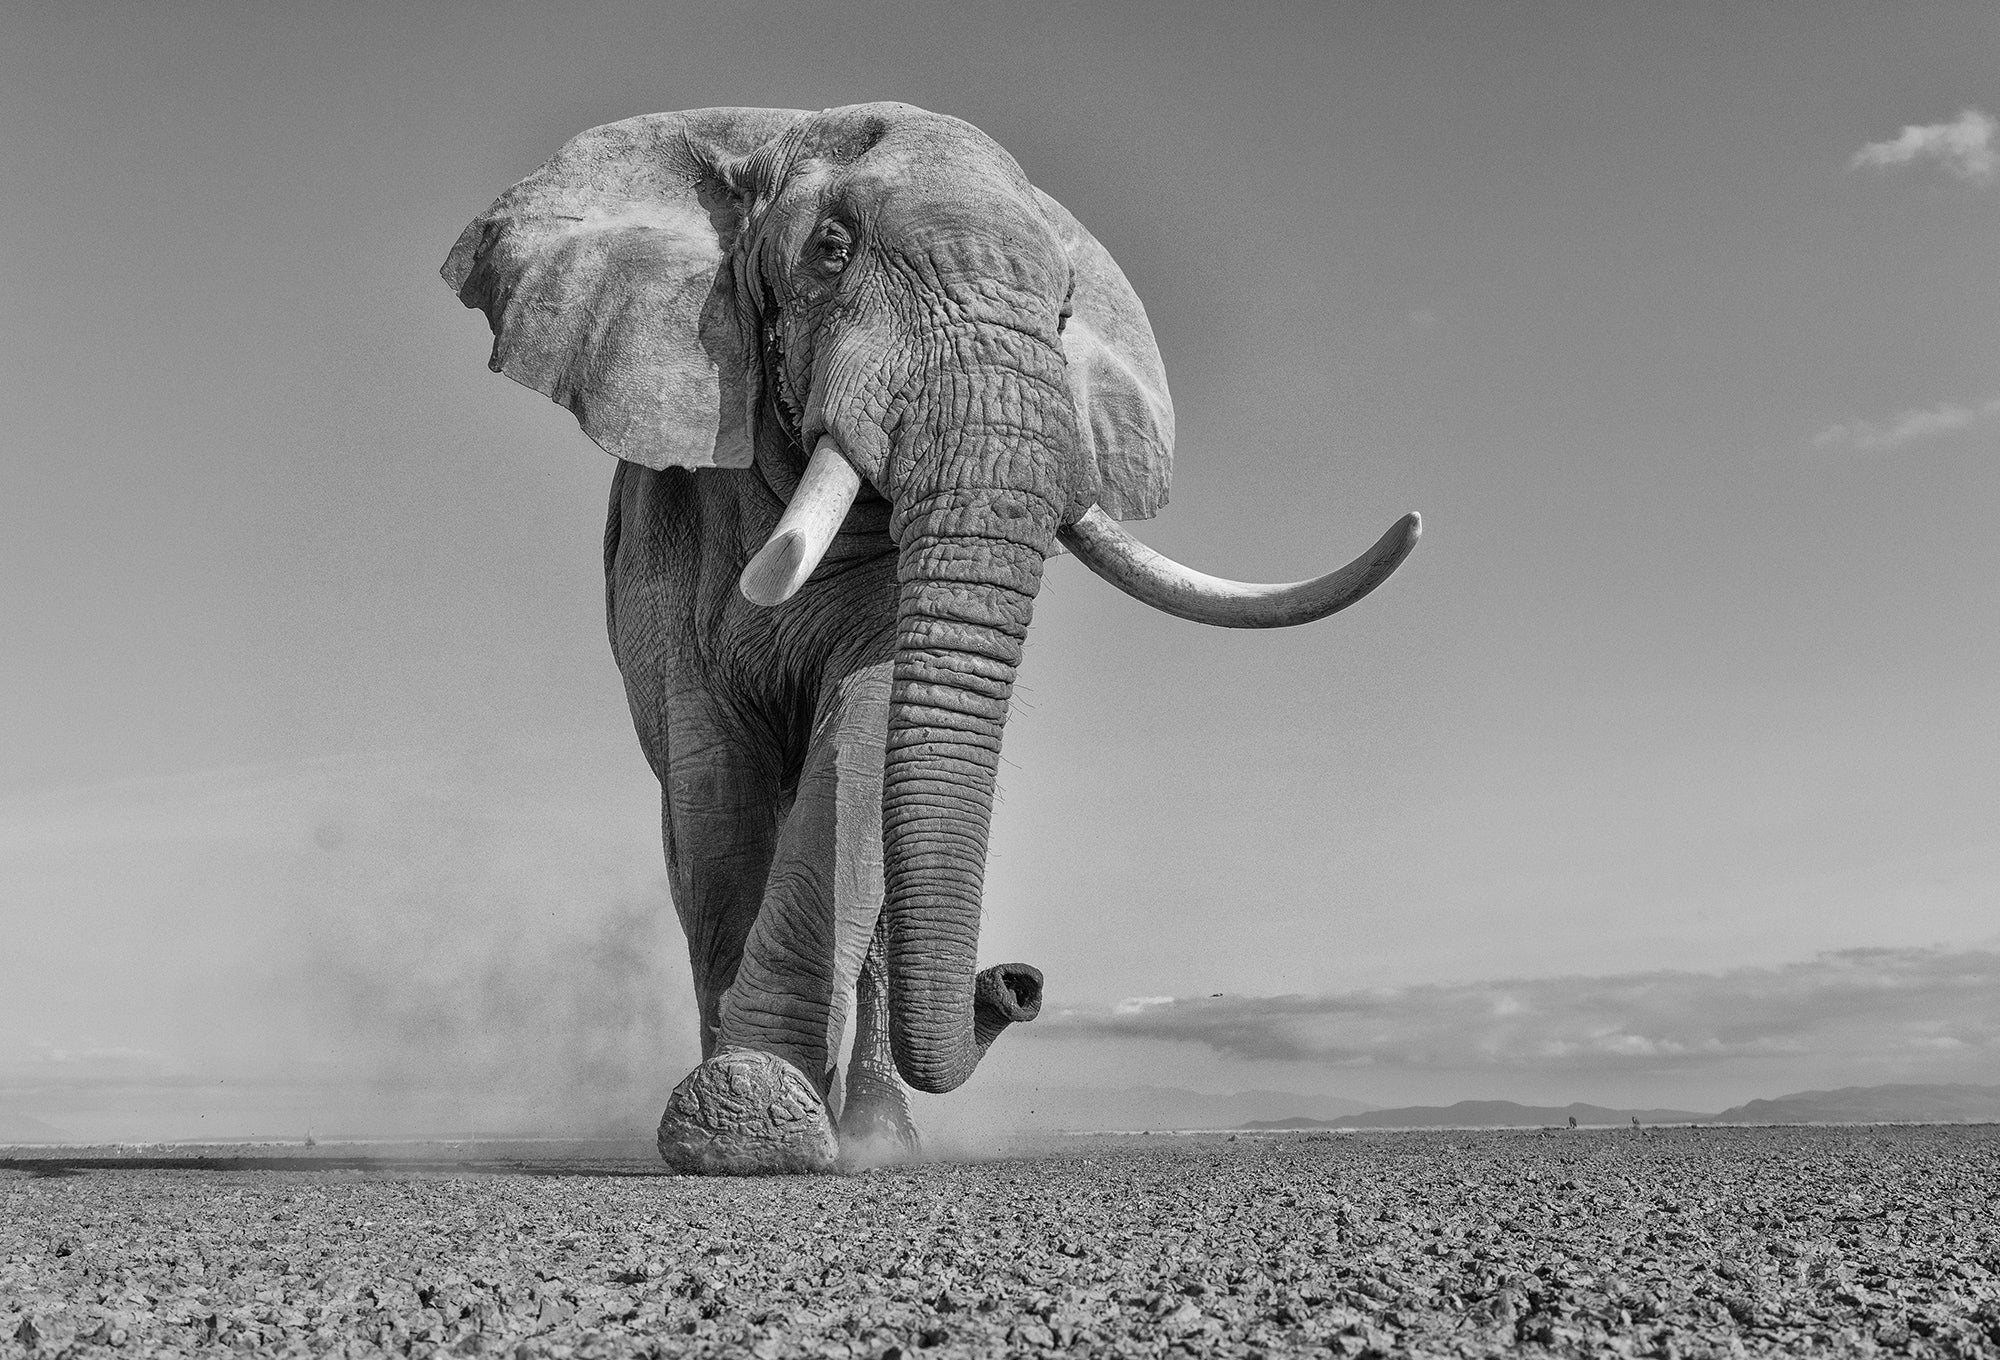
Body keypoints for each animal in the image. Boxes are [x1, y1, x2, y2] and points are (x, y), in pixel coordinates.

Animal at [442, 101, 1418, 1174]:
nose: (1020, 982)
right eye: (830, 252)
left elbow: (863, 741)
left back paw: (875, 1135)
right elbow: (713, 793)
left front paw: (766, 1121)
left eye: (1066, 313)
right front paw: (744, 1129)